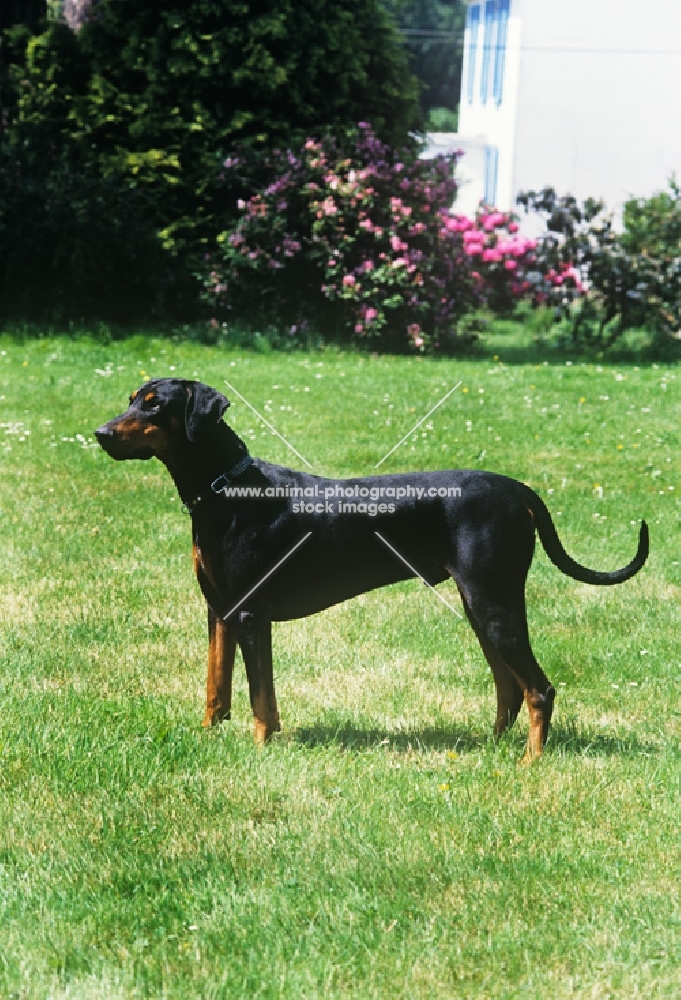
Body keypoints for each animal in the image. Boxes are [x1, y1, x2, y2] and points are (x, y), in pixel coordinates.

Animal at [95, 378, 648, 760]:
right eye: (132, 398)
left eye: (155, 404)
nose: (100, 433)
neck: (227, 490)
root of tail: (519, 490)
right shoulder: (220, 611)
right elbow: (216, 687)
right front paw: (206, 737)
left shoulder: (251, 614)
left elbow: (260, 698)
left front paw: (260, 749)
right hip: (481, 606)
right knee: (508, 687)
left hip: (494, 603)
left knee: (537, 688)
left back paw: (529, 763)